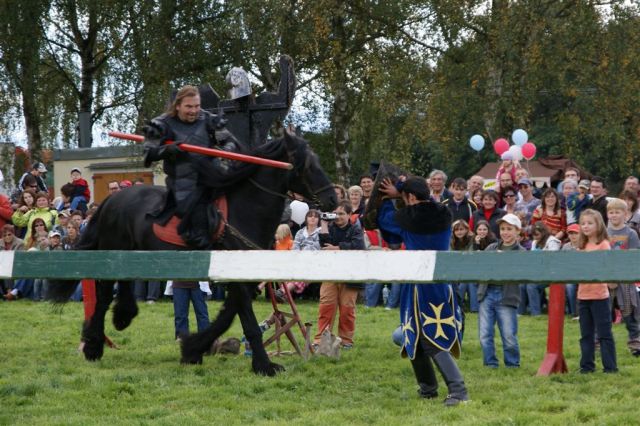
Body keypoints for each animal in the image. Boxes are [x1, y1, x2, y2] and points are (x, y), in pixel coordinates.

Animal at [50, 131, 336, 374]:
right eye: (307, 165)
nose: (332, 200)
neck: (245, 209)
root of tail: (111, 200)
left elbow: (228, 314)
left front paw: (193, 348)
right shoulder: (235, 277)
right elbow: (246, 319)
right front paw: (264, 365)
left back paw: (121, 317)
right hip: (115, 251)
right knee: (103, 296)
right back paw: (94, 345)